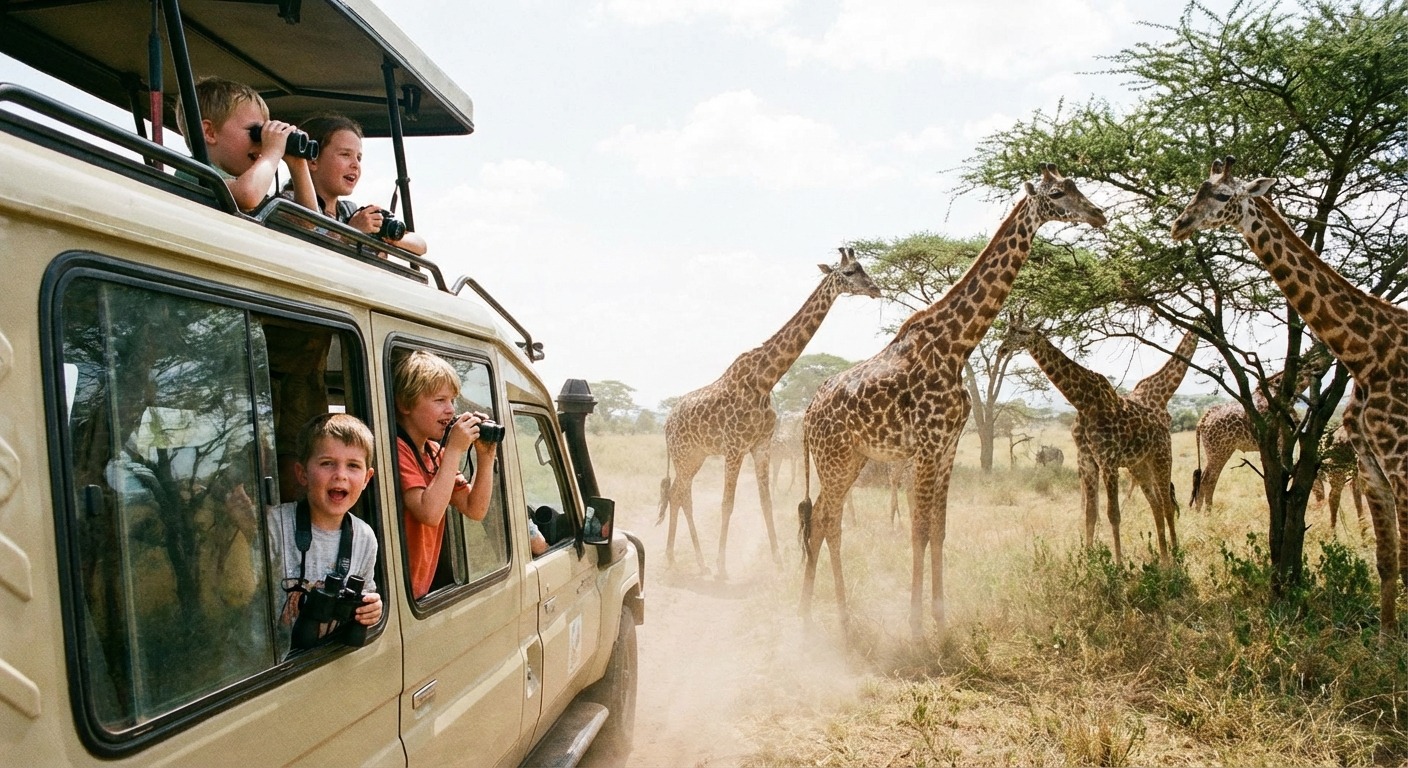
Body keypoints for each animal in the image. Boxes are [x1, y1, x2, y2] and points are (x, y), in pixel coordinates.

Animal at [658, 248, 881, 578]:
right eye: (850, 272)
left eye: (862, 267)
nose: (876, 289)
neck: (765, 380)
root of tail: (665, 424)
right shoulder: (735, 447)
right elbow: (727, 503)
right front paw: (723, 566)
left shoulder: (761, 445)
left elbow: (766, 501)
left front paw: (778, 560)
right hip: (684, 454)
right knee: (679, 494)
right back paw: (677, 558)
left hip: (696, 455)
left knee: (679, 494)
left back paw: (695, 560)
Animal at [798, 164, 1106, 637]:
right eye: (1057, 193)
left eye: (1077, 186)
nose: (1098, 214)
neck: (956, 345)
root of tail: (807, 415)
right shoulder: (926, 447)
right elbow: (919, 530)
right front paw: (915, 626)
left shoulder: (947, 447)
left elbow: (940, 530)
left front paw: (941, 619)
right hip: (832, 458)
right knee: (823, 521)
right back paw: (822, 621)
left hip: (852, 459)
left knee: (824, 522)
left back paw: (824, 618)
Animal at [999, 325, 1179, 566]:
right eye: (1007, 330)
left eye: (1022, 331)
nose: (1001, 349)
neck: (1083, 401)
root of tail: (1164, 427)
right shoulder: (1087, 460)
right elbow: (1090, 513)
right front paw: (1089, 559)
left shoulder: (1108, 461)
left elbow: (1113, 514)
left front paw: (1119, 564)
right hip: (1139, 466)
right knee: (1157, 505)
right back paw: (1164, 559)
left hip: (1162, 458)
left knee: (1168, 504)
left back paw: (1176, 555)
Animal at [1172, 155, 1408, 634]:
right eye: (1196, 190)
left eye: (1221, 195)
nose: (1179, 224)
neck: (1370, 353)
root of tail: (1202, 418)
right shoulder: (1373, 462)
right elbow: (1387, 558)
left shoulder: (1396, 460)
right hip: (1221, 449)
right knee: (1206, 483)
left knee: (1205, 483)